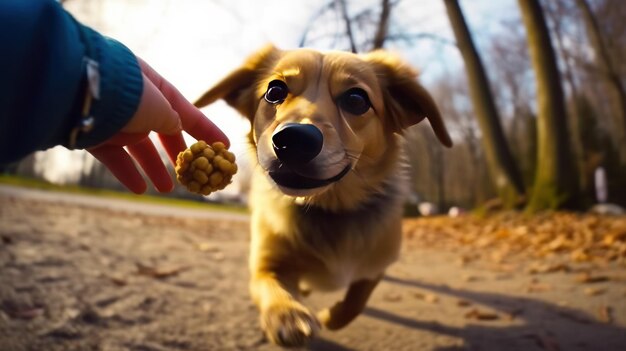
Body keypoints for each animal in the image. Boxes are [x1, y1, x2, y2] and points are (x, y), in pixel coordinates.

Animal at [194, 44, 448, 346]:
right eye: (274, 91)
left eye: (356, 99)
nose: (294, 139)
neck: (328, 207)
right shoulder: (266, 265)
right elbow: (271, 288)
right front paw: (287, 315)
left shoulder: (376, 266)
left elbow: (355, 302)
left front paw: (329, 317)